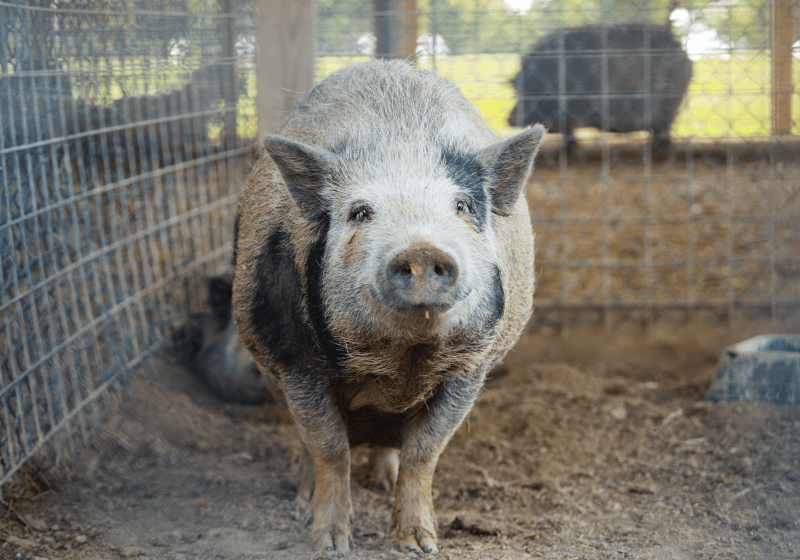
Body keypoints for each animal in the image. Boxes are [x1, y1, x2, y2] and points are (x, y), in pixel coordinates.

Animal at [233, 60, 544, 555]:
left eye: (462, 206)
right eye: (360, 212)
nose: (421, 248)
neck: (402, 360)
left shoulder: (470, 367)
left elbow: (425, 451)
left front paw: (422, 546)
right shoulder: (295, 362)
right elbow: (328, 447)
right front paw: (330, 545)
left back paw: (381, 480)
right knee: (303, 439)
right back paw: (302, 499)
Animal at [508, 22, 692, 154]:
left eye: (527, 89)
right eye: (517, 89)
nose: (509, 119)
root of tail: (684, 55)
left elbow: (569, 132)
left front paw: (566, 149)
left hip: (670, 103)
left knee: (664, 129)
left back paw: (657, 148)